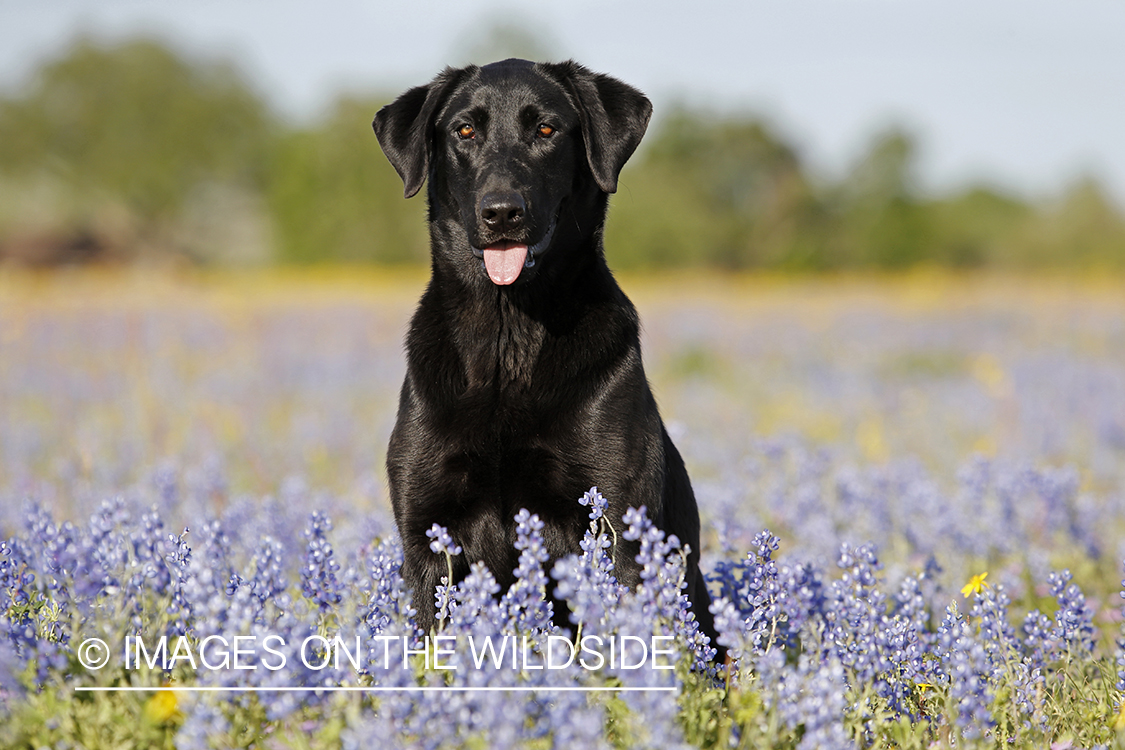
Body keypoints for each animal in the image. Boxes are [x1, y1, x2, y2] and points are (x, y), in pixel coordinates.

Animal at [373, 58, 715, 647]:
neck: (508, 336)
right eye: (465, 130)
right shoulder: (427, 533)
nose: (501, 212)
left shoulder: (614, 523)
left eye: (547, 129)